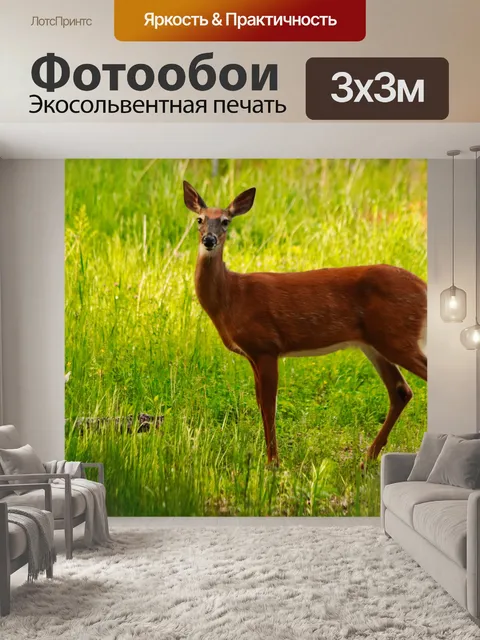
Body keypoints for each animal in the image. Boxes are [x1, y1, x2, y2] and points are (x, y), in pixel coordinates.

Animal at [183, 181, 427, 465]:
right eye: (199, 219)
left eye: (225, 221)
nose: (209, 240)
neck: (232, 296)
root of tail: (423, 287)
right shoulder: (253, 354)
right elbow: (260, 403)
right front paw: (269, 459)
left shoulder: (267, 346)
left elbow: (269, 406)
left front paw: (273, 463)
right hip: (376, 343)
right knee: (400, 391)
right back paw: (367, 458)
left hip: (397, 336)